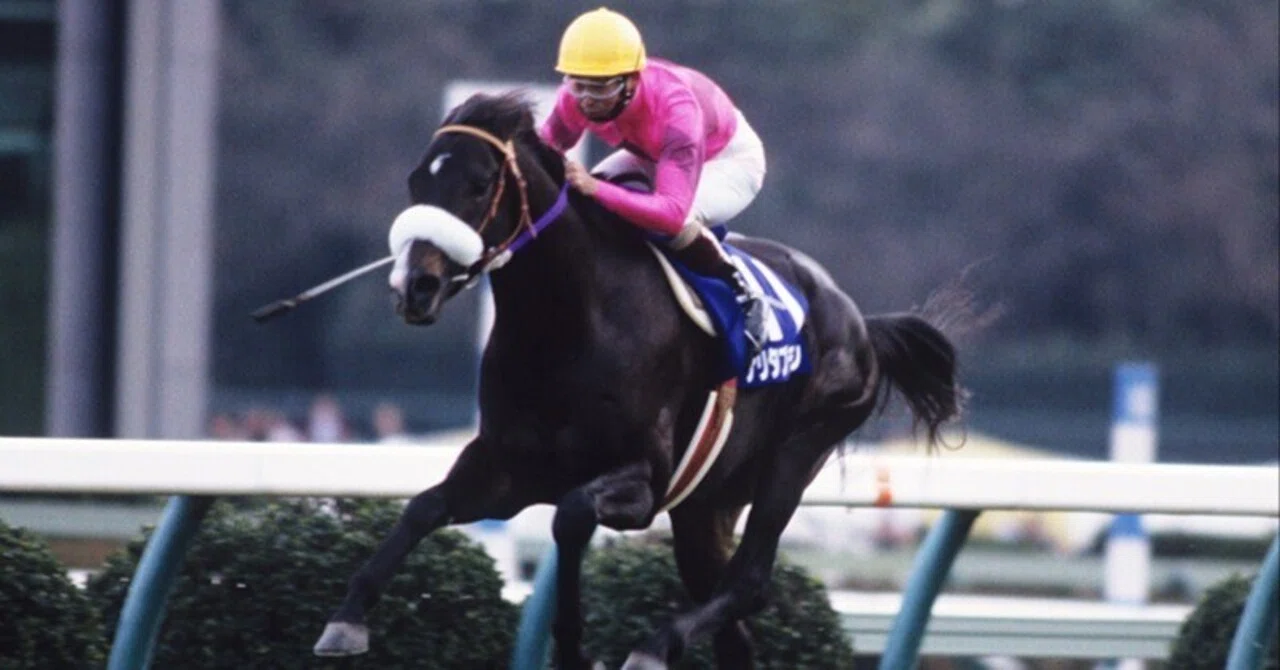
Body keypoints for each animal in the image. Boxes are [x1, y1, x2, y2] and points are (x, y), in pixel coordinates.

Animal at [313, 91, 967, 670]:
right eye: (415, 182)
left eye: (478, 184)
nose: (414, 286)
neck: (568, 322)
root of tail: (859, 322)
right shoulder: (507, 469)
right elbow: (423, 508)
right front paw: (346, 618)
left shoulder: (644, 480)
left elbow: (571, 515)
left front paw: (573, 648)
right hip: (707, 503)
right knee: (731, 624)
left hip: (798, 450)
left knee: (750, 582)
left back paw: (655, 645)